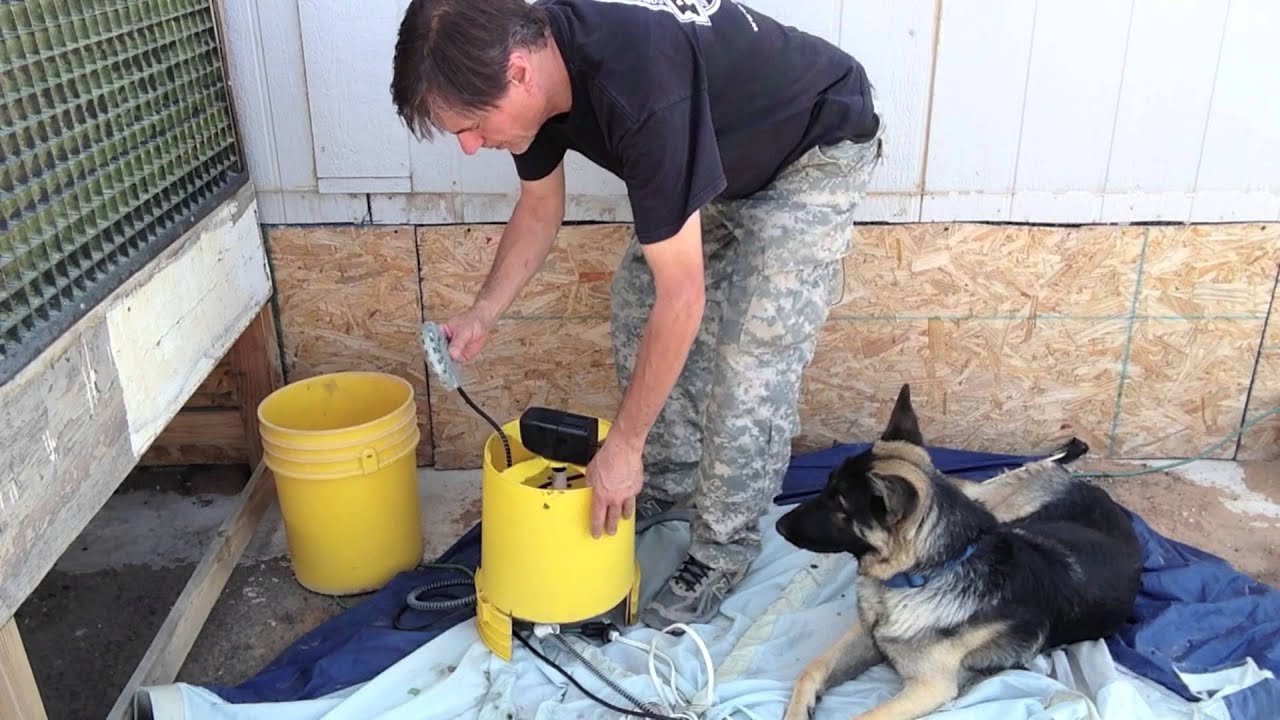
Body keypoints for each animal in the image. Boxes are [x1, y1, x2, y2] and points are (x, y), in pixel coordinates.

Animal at [773, 384, 1146, 717]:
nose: (778, 526)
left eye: (839, 504)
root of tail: (1088, 487)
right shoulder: (867, 635)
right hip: (993, 506)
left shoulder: (929, 688)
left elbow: (862, 717)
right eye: (826, 487)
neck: (927, 573)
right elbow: (812, 668)